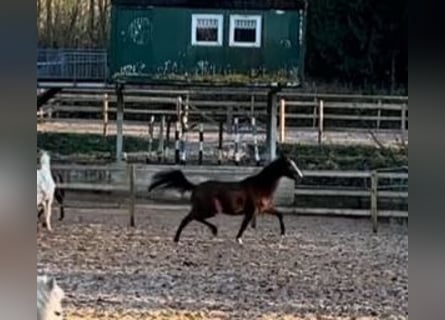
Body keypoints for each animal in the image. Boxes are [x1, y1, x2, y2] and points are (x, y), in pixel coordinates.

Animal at [147, 156, 304, 244]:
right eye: (290, 166)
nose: (300, 176)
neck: (260, 186)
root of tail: (196, 186)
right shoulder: (251, 211)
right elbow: (244, 226)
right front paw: (239, 239)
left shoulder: (264, 209)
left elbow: (280, 214)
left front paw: (283, 234)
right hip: (209, 210)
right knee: (189, 218)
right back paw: (208, 231)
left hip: (206, 210)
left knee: (190, 218)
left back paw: (180, 238)